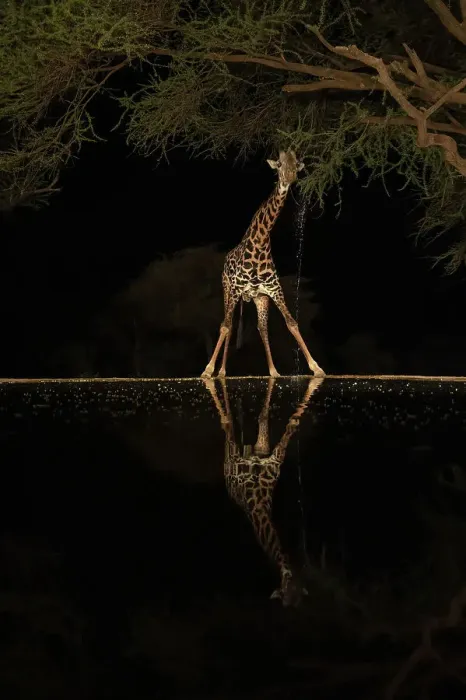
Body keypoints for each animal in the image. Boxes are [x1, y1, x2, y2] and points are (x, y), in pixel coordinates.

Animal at [202, 149, 325, 379]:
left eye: (296, 165)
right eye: (279, 165)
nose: (289, 177)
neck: (259, 245)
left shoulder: (273, 290)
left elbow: (292, 323)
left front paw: (316, 367)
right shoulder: (236, 288)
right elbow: (225, 326)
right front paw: (208, 370)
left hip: (259, 298)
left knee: (261, 327)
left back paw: (273, 371)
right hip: (228, 289)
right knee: (228, 324)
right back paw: (221, 372)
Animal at [203, 375, 324, 607]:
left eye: (297, 595)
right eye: (284, 596)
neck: (259, 501)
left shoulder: (274, 460)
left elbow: (287, 428)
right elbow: (231, 422)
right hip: (232, 455)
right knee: (231, 426)